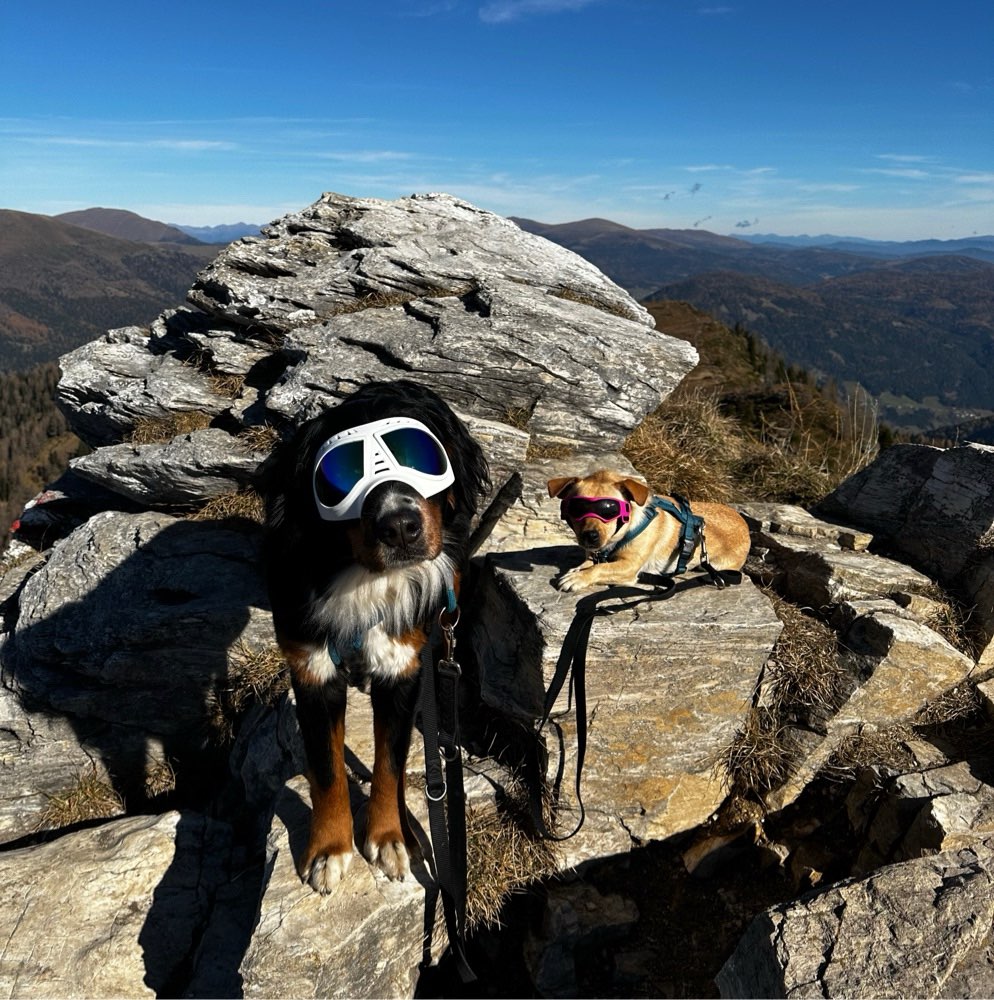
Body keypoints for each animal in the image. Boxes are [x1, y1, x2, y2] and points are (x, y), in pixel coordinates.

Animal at [258, 378, 486, 896]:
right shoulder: (312, 671)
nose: (400, 527)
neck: (362, 579)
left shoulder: (402, 671)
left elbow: (389, 764)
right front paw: (329, 849)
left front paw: (388, 837)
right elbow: (327, 772)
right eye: (338, 479)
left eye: (419, 454)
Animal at [548, 470, 748, 588]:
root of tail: (745, 525)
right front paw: (577, 571)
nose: (590, 536)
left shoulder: (629, 566)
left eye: (610, 509)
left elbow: (600, 568)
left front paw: (579, 578)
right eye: (577, 509)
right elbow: (589, 563)